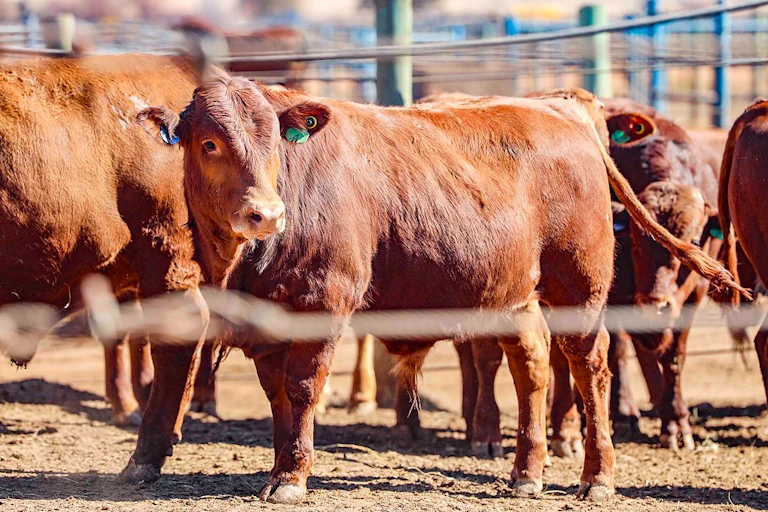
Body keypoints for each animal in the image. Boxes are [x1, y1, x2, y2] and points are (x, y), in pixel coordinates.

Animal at [136, 76, 740, 504]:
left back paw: (596, 478)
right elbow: (279, 396)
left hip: (580, 288)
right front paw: (283, 467)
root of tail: (559, 108)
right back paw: (526, 472)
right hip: (514, 296)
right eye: (208, 144)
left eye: (274, 146)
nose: (266, 214)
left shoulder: (323, 302)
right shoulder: (267, 322)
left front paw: (292, 479)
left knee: (590, 367)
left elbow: (304, 388)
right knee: (532, 366)